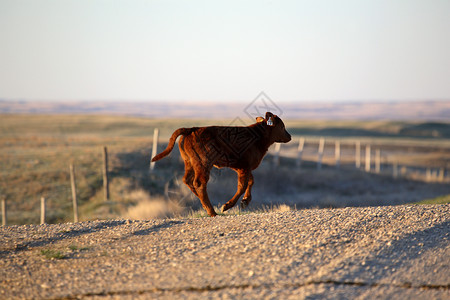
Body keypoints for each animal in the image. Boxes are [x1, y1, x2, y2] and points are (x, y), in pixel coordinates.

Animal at [151, 111, 292, 217]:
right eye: (282, 126)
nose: (289, 136)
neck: (258, 137)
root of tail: (192, 129)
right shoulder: (244, 167)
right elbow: (242, 186)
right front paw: (227, 206)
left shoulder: (243, 167)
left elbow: (251, 181)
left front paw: (245, 202)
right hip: (203, 164)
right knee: (199, 183)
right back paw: (212, 211)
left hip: (189, 162)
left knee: (187, 180)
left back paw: (203, 203)